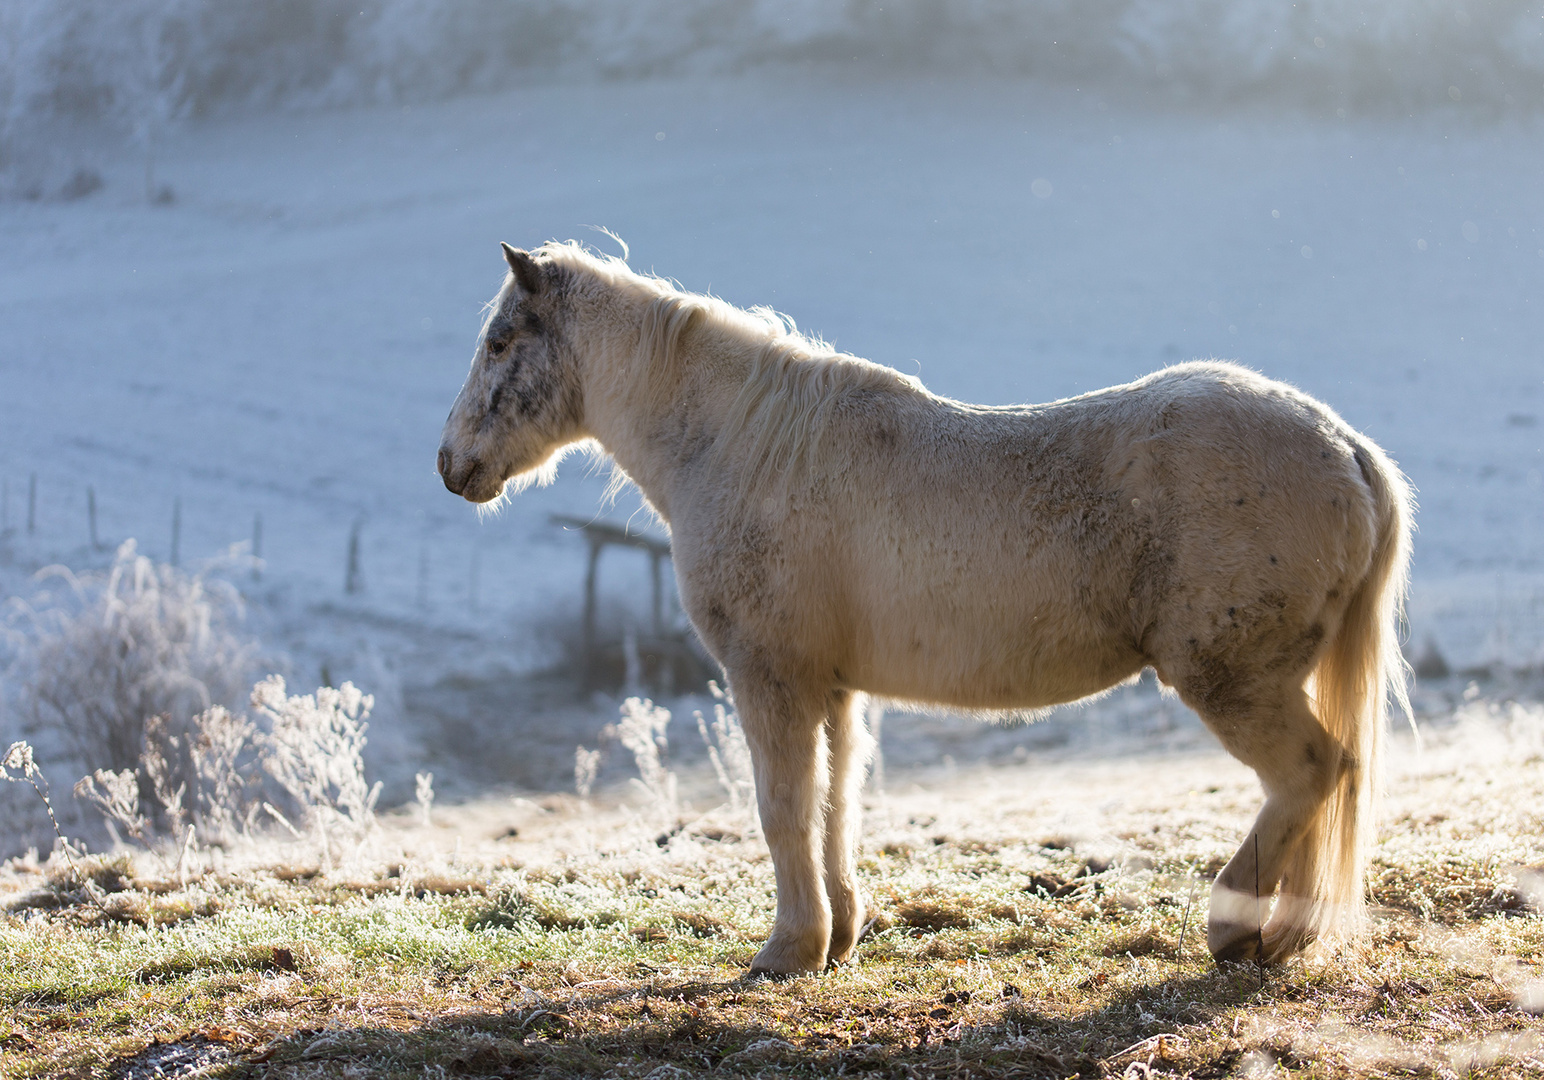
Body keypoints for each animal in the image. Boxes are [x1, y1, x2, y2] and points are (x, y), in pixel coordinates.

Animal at [435, 242, 1414, 982]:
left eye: (499, 342)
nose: (451, 464)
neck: (745, 448)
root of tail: (1344, 446)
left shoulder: (769, 678)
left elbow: (783, 807)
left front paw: (787, 950)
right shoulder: (832, 689)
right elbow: (837, 803)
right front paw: (838, 936)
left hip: (1231, 680)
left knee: (1311, 772)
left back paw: (1236, 927)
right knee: (1327, 782)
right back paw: (1281, 935)